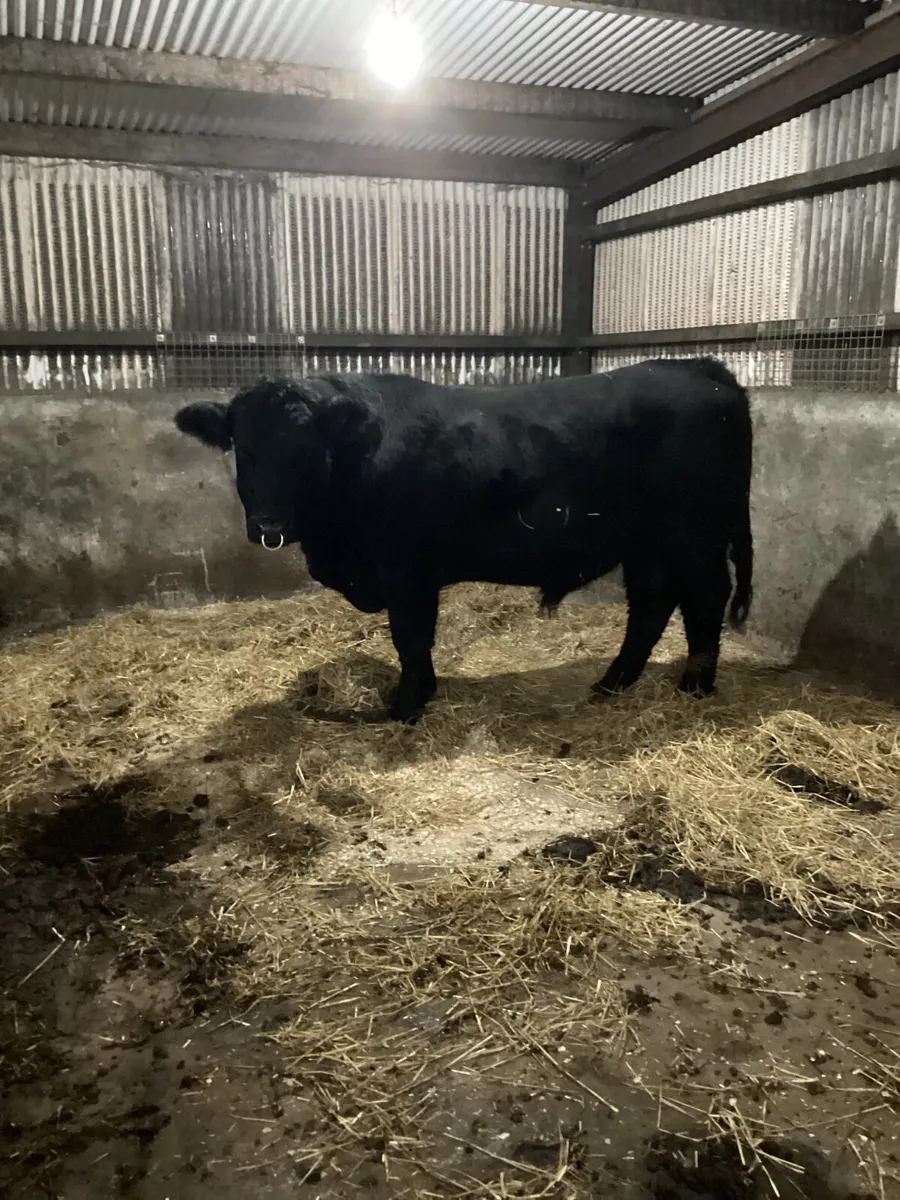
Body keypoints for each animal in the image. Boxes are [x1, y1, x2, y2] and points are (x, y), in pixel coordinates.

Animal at [175, 359, 753, 724]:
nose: (269, 524)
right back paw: (612, 683)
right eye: (243, 449)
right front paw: (421, 694)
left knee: (704, 599)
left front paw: (406, 706)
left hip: (693, 534)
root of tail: (699, 367)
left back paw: (694, 688)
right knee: (653, 603)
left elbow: (410, 637)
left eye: (305, 451)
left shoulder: (405, 570)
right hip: (648, 544)